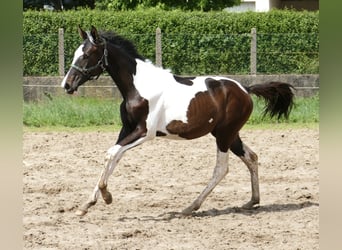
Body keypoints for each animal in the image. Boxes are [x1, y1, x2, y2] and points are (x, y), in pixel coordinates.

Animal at [60, 25, 294, 217]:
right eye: (76, 54)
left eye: (87, 54)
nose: (67, 85)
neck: (139, 86)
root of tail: (245, 88)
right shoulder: (126, 130)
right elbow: (114, 157)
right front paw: (87, 204)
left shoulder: (145, 132)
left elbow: (111, 153)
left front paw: (106, 196)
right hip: (228, 134)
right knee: (251, 157)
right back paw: (252, 201)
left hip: (224, 135)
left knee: (221, 169)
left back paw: (190, 207)